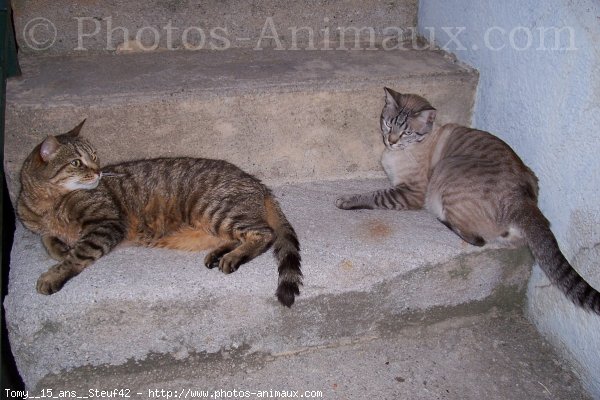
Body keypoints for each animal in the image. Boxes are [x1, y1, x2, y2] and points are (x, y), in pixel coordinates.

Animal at [17, 121, 302, 306]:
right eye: (77, 162)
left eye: (95, 156)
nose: (98, 172)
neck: (49, 203)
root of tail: (258, 183)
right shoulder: (39, 226)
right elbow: (48, 239)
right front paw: (59, 247)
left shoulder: (108, 224)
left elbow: (77, 255)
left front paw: (54, 274)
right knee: (240, 236)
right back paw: (220, 253)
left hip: (216, 211)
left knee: (264, 234)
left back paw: (233, 256)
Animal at [338, 87, 600, 316]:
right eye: (388, 123)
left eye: (407, 133)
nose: (390, 141)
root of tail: (524, 203)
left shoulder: (410, 193)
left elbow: (374, 195)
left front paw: (345, 200)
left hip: (448, 170)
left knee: (477, 239)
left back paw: (440, 218)